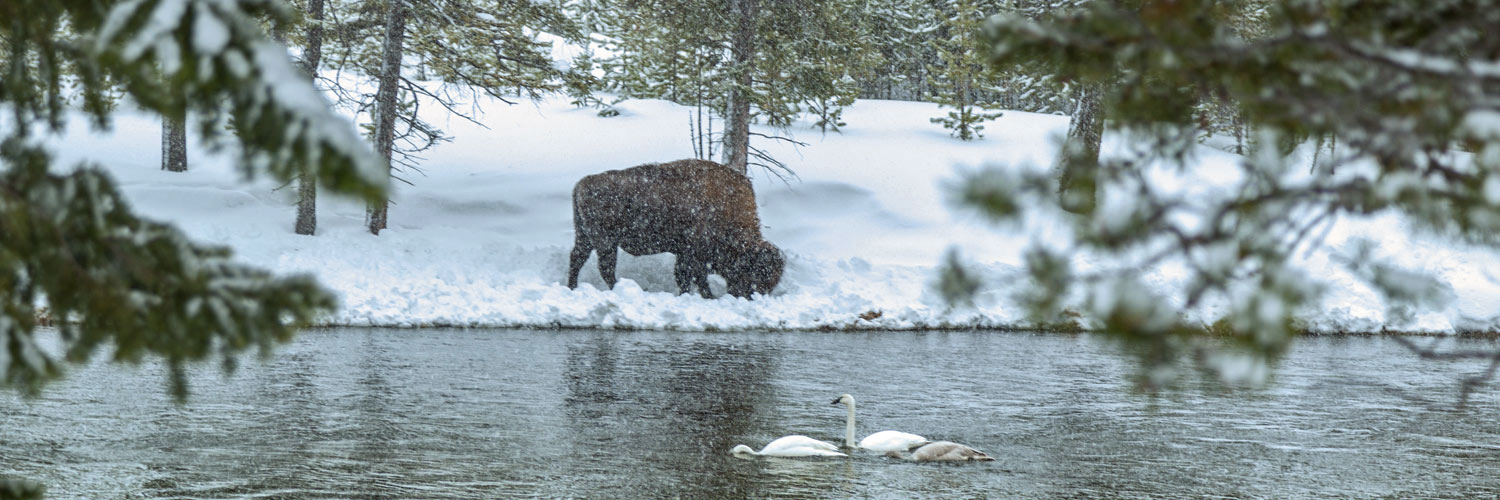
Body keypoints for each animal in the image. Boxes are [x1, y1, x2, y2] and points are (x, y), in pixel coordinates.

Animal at [564, 159, 786, 297]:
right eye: (757, 271)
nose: (754, 296)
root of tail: (583, 183)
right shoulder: (692, 253)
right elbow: (691, 277)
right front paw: (707, 296)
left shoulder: (686, 253)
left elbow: (687, 277)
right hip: (605, 242)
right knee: (605, 268)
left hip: (585, 237)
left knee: (577, 258)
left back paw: (572, 287)